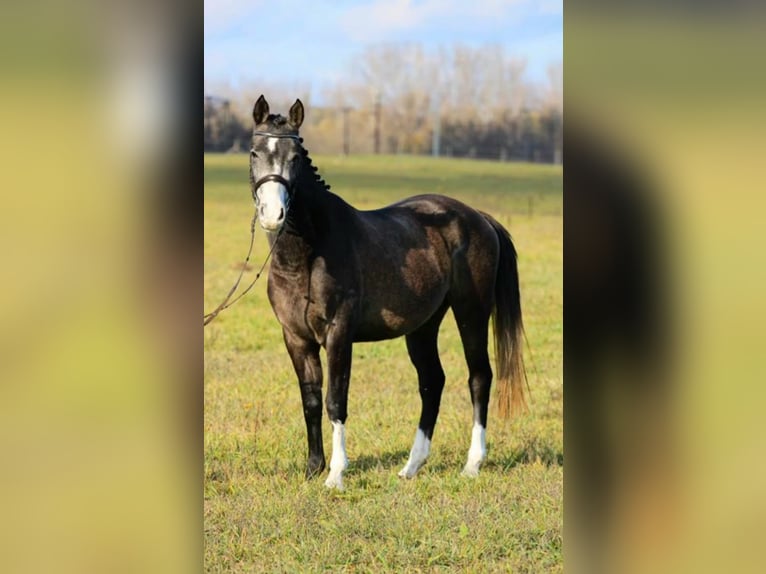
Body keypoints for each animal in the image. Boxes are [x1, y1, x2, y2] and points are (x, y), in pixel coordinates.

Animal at [252, 94, 528, 490]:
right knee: (432, 382)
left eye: (296, 157)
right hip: (423, 326)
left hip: (471, 313)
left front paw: (336, 473)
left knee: (479, 377)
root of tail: (479, 217)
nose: (273, 214)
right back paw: (412, 465)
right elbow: (311, 401)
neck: (307, 255)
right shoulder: (296, 338)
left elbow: (336, 400)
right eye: (254, 152)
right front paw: (313, 468)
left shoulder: (338, 334)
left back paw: (472, 464)